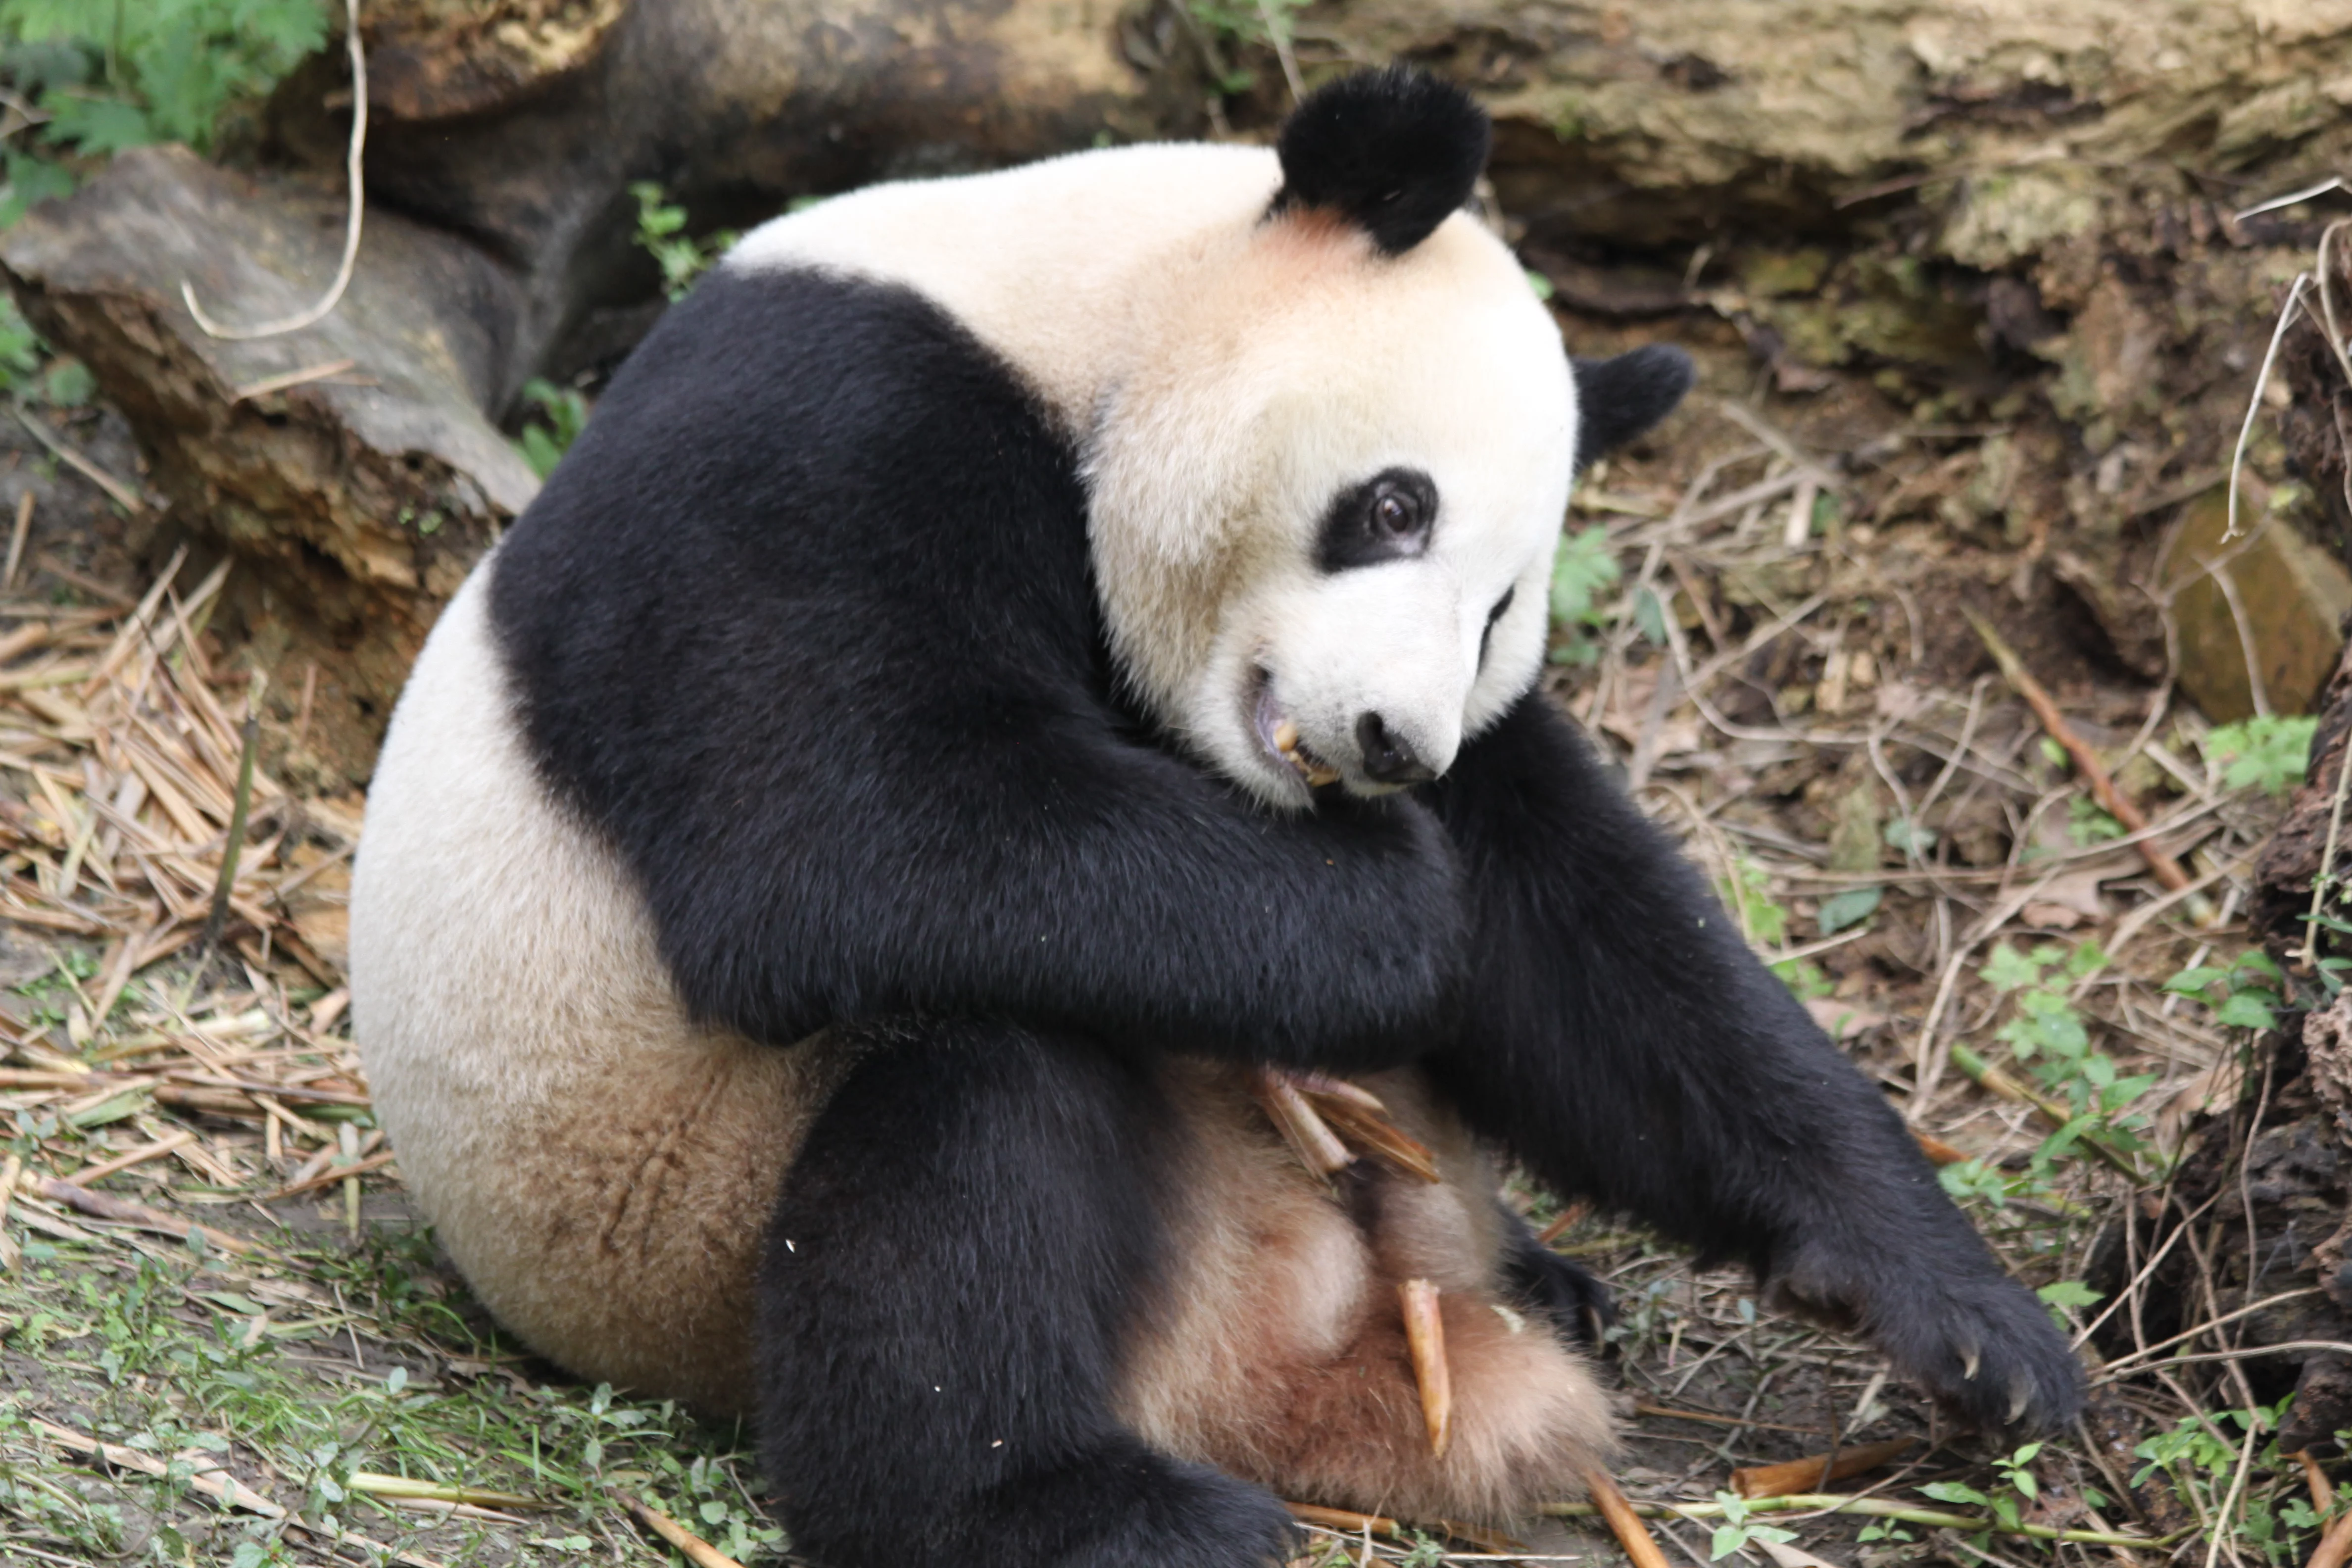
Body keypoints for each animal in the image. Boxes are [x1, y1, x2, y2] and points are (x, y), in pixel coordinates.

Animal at [350, 67, 2081, 1568]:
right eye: (1395, 506)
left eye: (1501, 615)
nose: (1391, 748)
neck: (1089, 317)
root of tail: (1253, 1336)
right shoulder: (822, 425)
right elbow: (833, 827)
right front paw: (1391, 912)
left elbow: (1596, 955)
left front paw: (1968, 1320)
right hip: (674, 1220)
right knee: (977, 1106)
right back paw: (1065, 1509)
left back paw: (1542, 1289)